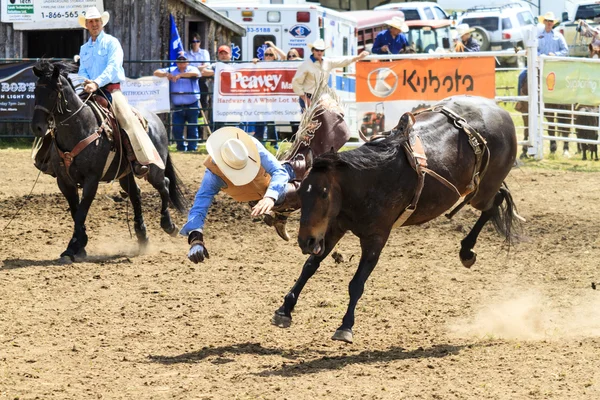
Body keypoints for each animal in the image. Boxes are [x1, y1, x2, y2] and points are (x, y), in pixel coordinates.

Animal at [29, 59, 185, 262]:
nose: (38, 127)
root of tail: (155, 119)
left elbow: (81, 212)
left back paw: (169, 225)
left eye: (53, 92)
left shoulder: (92, 179)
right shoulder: (64, 181)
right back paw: (142, 237)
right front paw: (79, 246)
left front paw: (73, 247)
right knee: (135, 194)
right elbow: (75, 211)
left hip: (154, 169)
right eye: (35, 91)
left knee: (164, 184)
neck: (81, 127)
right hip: (125, 174)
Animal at [272, 95, 520, 342]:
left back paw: (467, 251)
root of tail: (502, 112)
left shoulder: (376, 238)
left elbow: (357, 283)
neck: (368, 182)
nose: (305, 241)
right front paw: (284, 310)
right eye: (301, 191)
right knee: (498, 200)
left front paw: (345, 326)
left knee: (495, 202)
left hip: (482, 192)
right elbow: (310, 266)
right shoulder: (334, 227)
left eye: (324, 193)